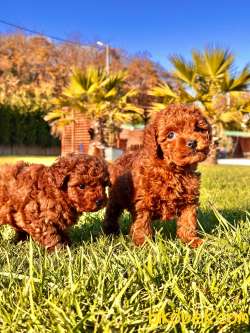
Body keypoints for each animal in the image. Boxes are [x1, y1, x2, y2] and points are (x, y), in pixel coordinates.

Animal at [103, 104, 211, 246]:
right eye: (171, 135)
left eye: (198, 128)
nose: (192, 143)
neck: (173, 170)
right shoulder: (143, 201)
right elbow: (142, 222)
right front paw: (143, 243)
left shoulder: (190, 201)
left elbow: (188, 221)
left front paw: (191, 240)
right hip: (116, 197)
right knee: (112, 212)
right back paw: (110, 232)